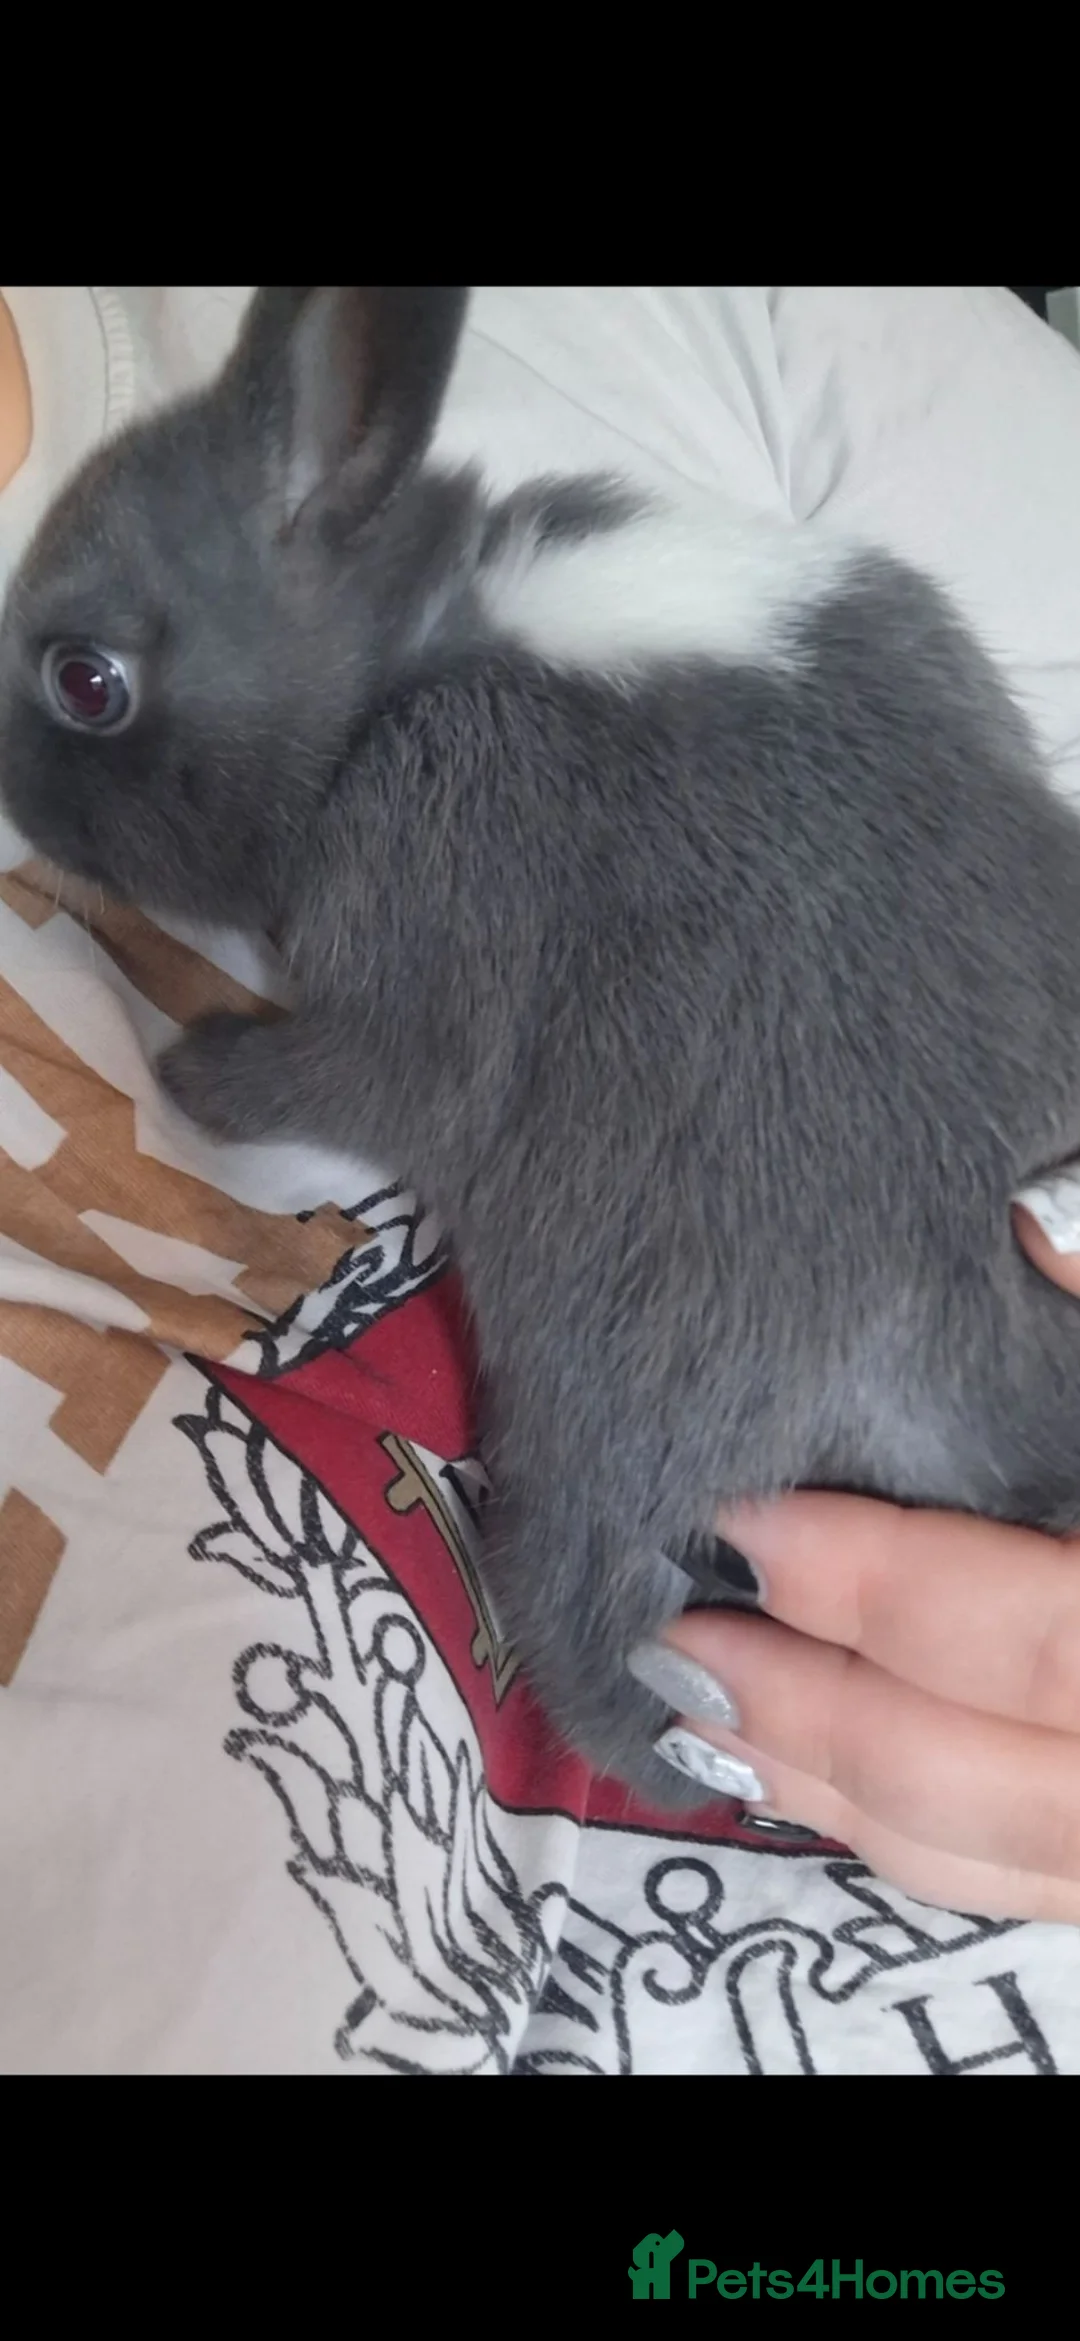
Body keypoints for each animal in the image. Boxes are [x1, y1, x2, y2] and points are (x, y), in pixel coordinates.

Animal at [4, 283, 1080, 1813]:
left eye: (86, 681)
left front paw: (191, 1066)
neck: (406, 664)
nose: (10, 793)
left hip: (608, 1412)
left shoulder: (423, 914)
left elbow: (359, 1080)